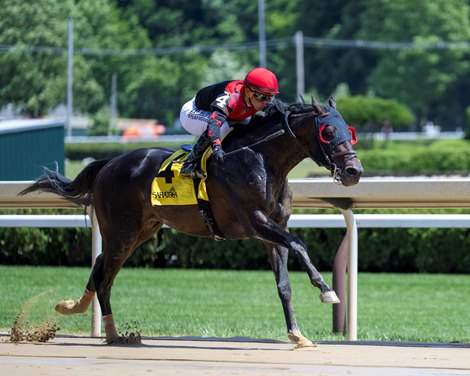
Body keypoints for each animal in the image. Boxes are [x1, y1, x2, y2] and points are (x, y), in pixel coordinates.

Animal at [19, 97, 364, 346]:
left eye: (350, 130)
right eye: (328, 132)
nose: (354, 171)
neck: (262, 159)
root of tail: (109, 163)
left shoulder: (272, 230)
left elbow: (284, 285)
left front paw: (297, 334)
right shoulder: (256, 221)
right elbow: (299, 244)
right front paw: (326, 289)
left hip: (141, 230)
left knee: (100, 264)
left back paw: (75, 307)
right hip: (121, 231)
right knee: (105, 276)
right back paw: (113, 333)